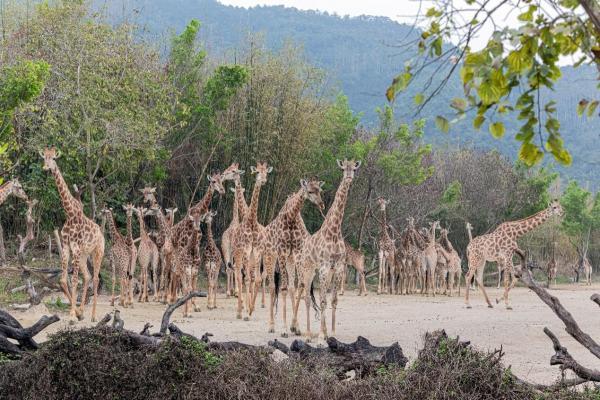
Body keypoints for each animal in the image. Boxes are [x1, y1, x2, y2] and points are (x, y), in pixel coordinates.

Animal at [41, 147, 105, 322]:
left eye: (53, 159)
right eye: (44, 158)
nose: (45, 167)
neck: (69, 214)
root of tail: (102, 234)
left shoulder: (75, 248)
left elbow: (75, 280)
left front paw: (71, 314)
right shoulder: (66, 246)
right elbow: (63, 280)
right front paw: (76, 313)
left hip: (98, 252)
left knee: (95, 278)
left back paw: (94, 316)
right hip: (84, 255)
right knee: (88, 276)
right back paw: (83, 311)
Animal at [232, 161, 272, 320]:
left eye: (266, 172)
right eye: (257, 172)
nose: (264, 180)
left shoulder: (250, 251)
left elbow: (249, 278)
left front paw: (247, 309)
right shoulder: (249, 251)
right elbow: (250, 278)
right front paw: (247, 308)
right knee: (254, 277)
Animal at [256, 177, 326, 334]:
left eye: (320, 190)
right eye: (310, 191)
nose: (322, 204)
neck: (291, 217)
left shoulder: (297, 252)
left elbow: (299, 286)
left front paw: (295, 326)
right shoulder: (282, 251)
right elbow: (283, 288)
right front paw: (284, 329)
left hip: (290, 259)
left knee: (292, 287)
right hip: (270, 256)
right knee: (271, 286)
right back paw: (271, 326)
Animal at [292, 159, 358, 344]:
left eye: (354, 168)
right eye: (343, 168)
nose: (349, 177)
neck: (334, 231)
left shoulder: (338, 267)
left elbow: (333, 300)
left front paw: (332, 333)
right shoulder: (323, 267)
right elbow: (321, 301)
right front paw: (321, 335)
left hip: (321, 272)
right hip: (307, 270)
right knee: (307, 297)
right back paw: (307, 334)